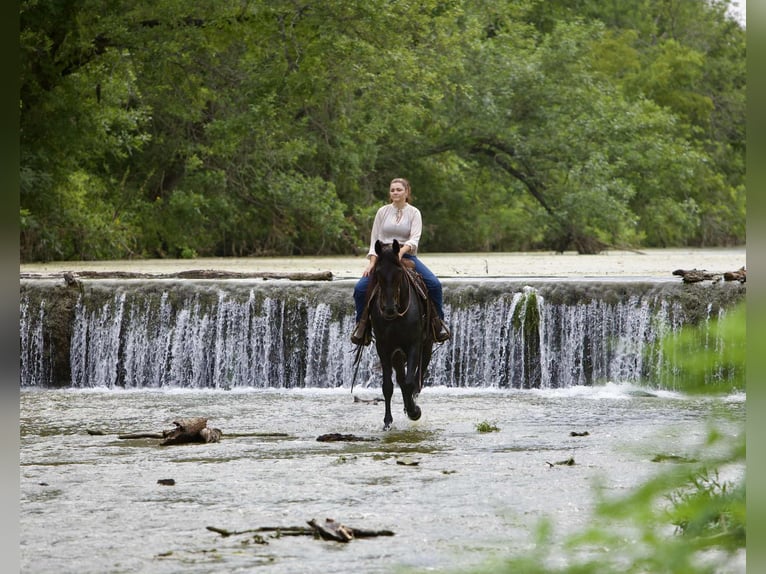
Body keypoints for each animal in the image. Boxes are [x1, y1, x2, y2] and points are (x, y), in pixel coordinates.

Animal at [367, 239, 434, 430]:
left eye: (398, 272)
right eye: (378, 272)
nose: (389, 309)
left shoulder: (414, 345)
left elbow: (410, 382)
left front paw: (414, 411)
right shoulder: (383, 348)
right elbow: (388, 386)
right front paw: (387, 421)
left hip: (427, 345)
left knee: (418, 377)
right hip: (396, 354)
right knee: (401, 379)